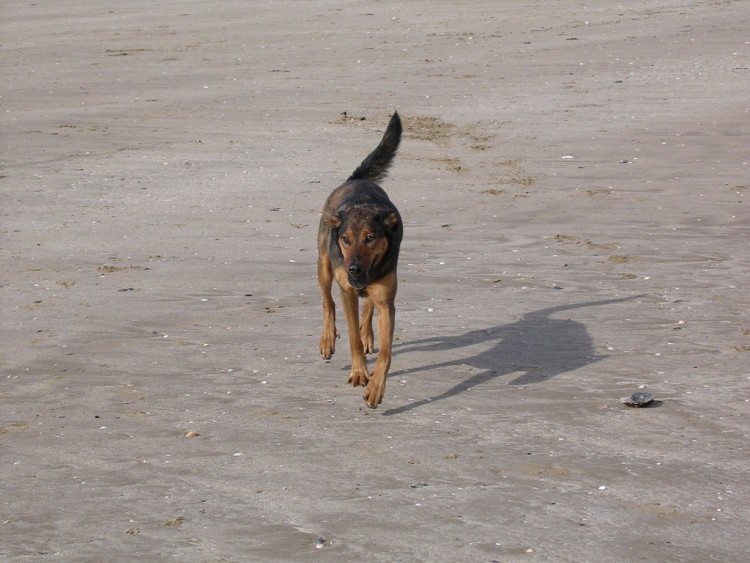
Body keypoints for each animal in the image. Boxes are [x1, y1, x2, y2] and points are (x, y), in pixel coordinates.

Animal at [320, 111, 408, 410]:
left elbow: (386, 353)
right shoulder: (347, 290)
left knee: (367, 306)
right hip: (324, 267)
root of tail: (357, 179)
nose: (354, 268)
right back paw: (327, 339)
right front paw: (359, 372)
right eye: (346, 239)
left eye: (370, 238)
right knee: (328, 302)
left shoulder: (386, 302)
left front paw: (376, 388)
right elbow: (352, 337)